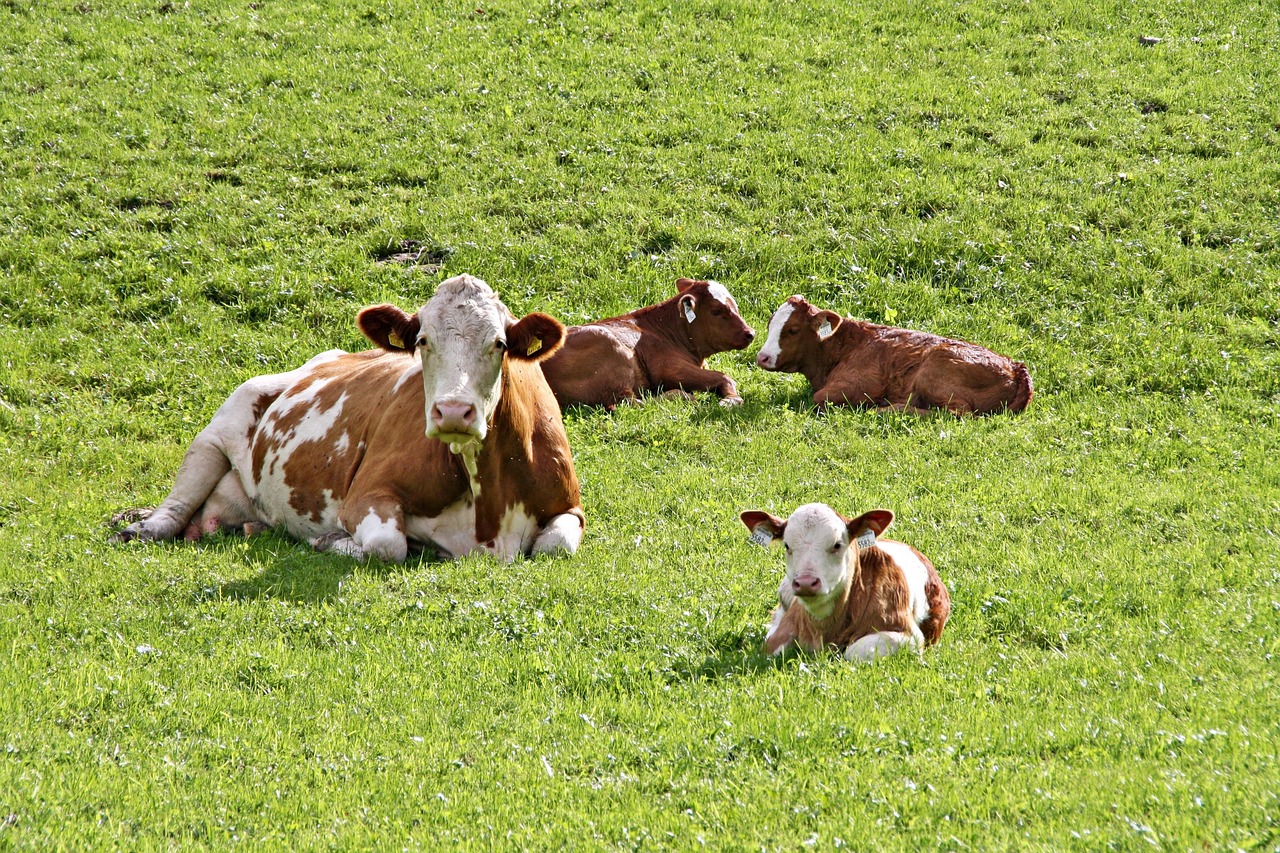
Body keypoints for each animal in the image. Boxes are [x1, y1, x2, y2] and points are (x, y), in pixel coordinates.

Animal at [115, 275, 586, 560]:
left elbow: (556, 544)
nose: (453, 411)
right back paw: (141, 527)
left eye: (499, 343)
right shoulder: (367, 494)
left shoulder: (570, 506)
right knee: (177, 503)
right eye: (422, 340)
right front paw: (333, 540)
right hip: (223, 422)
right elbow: (387, 544)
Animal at [537, 275, 752, 409]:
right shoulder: (669, 368)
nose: (750, 333)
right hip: (612, 351)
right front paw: (731, 400)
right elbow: (725, 376)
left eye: (735, 305)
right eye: (716, 311)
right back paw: (680, 396)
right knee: (629, 402)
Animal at [742, 502, 952, 660]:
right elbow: (770, 646)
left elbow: (852, 652)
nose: (806, 582)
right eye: (787, 545)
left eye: (837, 545)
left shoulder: (908, 634)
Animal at [752, 294, 1034, 412]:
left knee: (957, 413)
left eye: (793, 329)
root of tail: (1016, 367)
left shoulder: (861, 384)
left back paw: (889, 409)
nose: (762, 357)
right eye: (770, 324)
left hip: (933, 371)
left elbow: (819, 397)